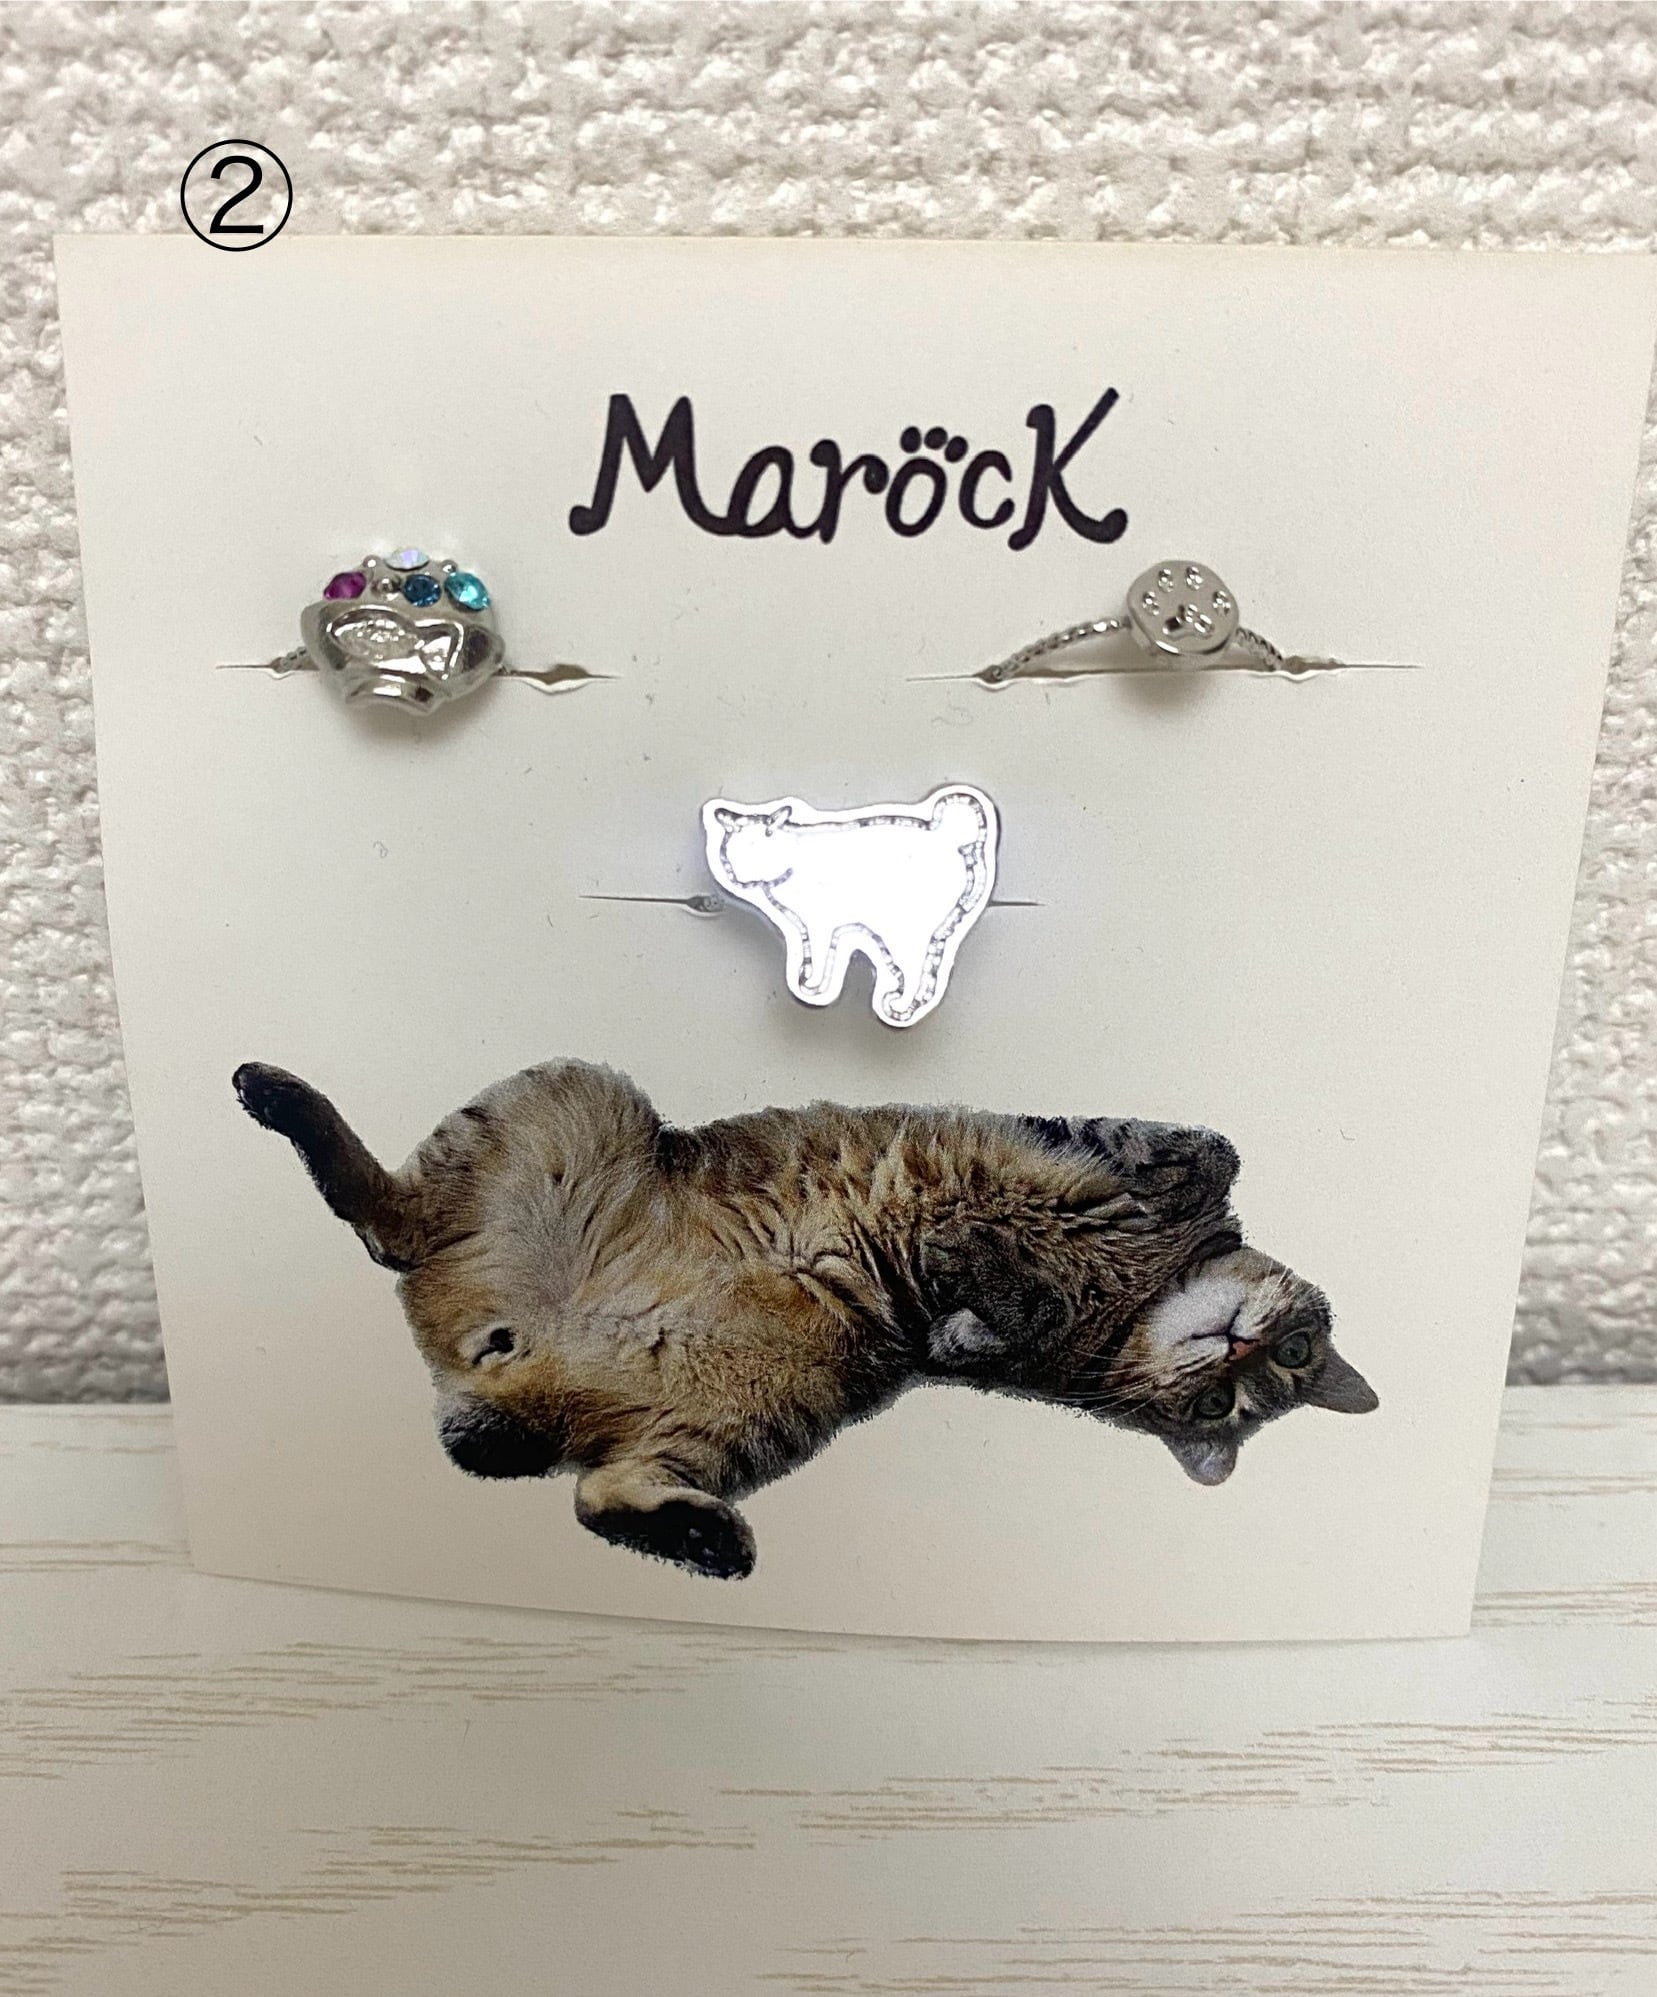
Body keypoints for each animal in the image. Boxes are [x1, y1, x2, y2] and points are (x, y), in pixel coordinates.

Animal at [233, 1059, 1377, 1580]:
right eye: (1287, 1354)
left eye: (1228, 1402)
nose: (1234, 1348)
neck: (1127, 1304)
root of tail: (512, 1371)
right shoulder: (1132, 1152)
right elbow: (1173, 1156)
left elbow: (996, 1312)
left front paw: (977, 1316)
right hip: (571, 1094)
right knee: (386, 1216)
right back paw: (275, 1093)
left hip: (762, 1413)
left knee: (596, 1493)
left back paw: (705, 1538)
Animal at [703, 786, 997, 1026]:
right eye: (735, 848)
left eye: (762, 843)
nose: (741, 875)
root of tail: (946, 834)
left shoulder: (820, 924)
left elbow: (818, 960)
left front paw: (812, 985)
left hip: (904, 933)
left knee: (916, 974)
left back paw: (900, 1007)